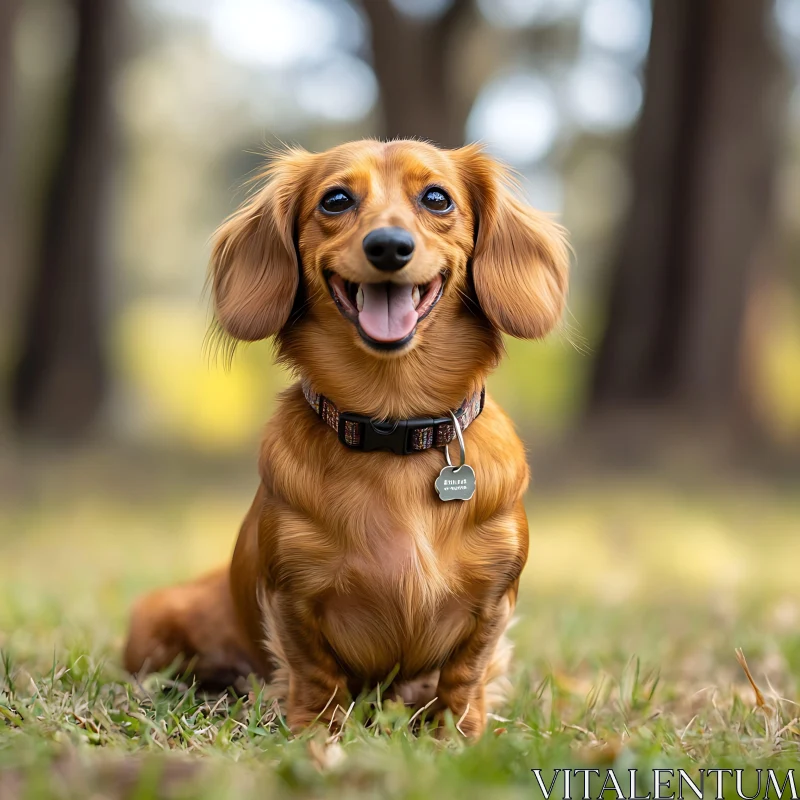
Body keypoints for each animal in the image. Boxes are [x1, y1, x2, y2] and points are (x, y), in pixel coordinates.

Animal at [123, 139, 568, 736]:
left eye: (437, 198)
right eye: (335, 200)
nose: (388, 246)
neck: (393, 424)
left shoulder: (495, 599)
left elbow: (466, 672)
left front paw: (456, 735)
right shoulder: (292, 594)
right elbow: (315, 670)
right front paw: (317, 734)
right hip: (152, 622)